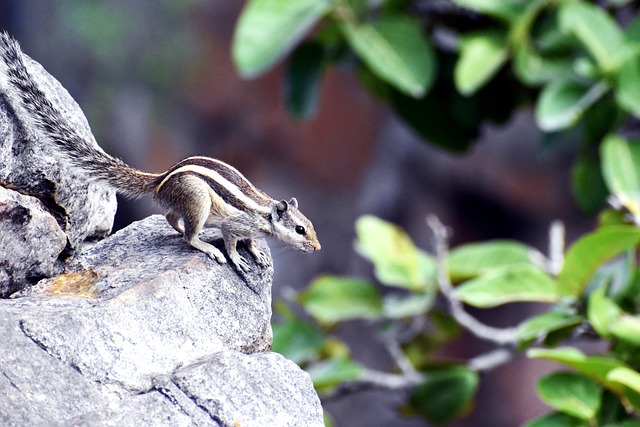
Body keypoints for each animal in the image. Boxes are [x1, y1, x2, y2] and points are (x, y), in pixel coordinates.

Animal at [0, 31, 320, 272]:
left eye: (310, 225)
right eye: (300, 230)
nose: (317, 247)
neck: (265, 213)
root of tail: (160, 180)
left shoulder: (250, 229)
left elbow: (251, 241)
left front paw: (257, 254)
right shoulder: (235, 224)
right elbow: (231, 240)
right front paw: (237, 258)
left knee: (171, 219)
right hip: (198, 200)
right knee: (189, 236)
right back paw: (206, 246)